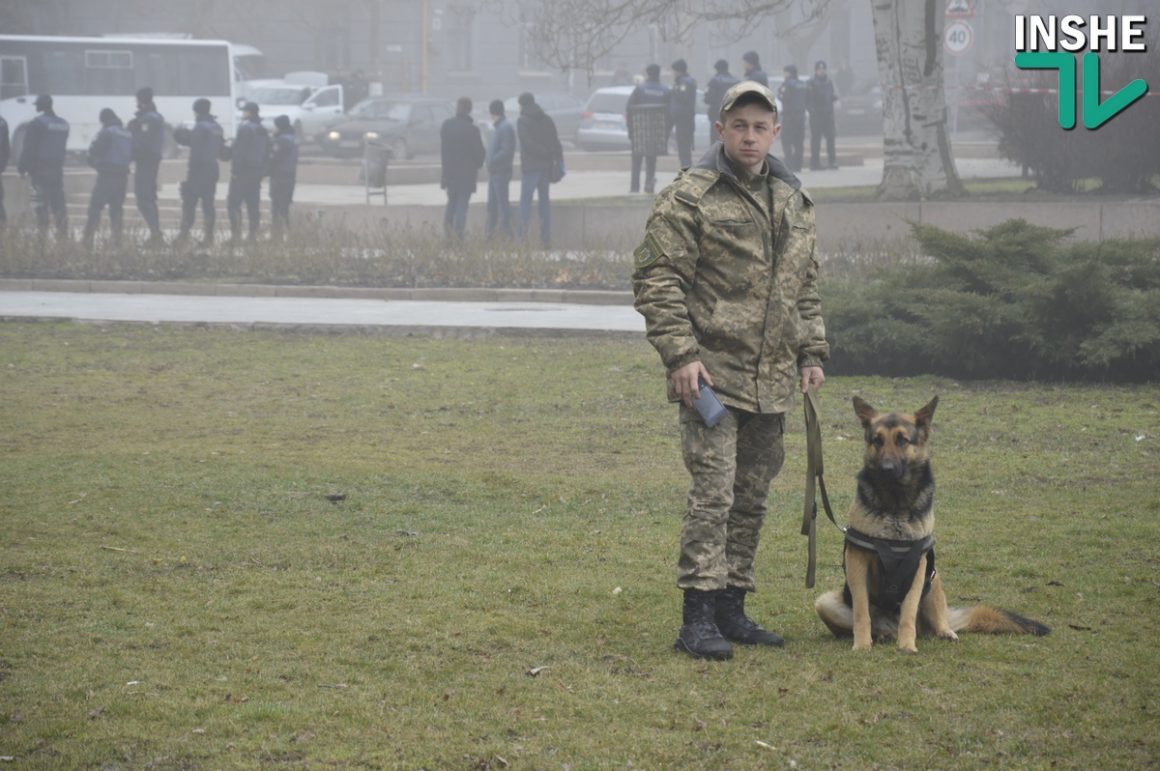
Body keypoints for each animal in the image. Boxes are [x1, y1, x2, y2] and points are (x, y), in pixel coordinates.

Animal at [816, 394, 1053, 653]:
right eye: (877, 440)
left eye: (902, 440)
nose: (886, 469)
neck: (895, 506)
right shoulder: (857, 561)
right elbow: (861, 612)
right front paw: (861, 644)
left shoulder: (918, 566)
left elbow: (908, 611)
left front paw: (907, 646)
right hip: (824, 602)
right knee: (874, 624)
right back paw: (883, 635)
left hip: (933, 578)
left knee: (935, 621)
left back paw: (943, 631)